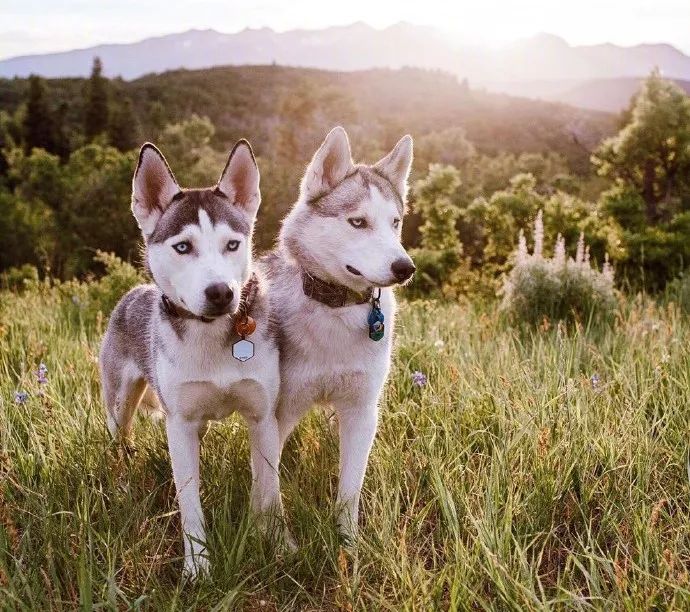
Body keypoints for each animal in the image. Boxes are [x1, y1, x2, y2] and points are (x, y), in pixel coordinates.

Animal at [98, 141, 280, 576]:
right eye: (183, 246)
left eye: (232, 244)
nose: (222, 292)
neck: (211, 337)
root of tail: (132, 294)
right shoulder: (178, 424)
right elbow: (189, 502)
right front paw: (197, 566)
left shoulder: (263, 417)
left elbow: (268, 490)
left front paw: (276, 545)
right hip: (120, 406)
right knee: (119, 444)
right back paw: (121, 485)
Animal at [264, 126, 414, 536]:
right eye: (358, 222)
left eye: (395, 223)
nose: (405, 267)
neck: (337, 307)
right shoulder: (276, 416)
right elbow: (269, 487)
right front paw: (276, 539)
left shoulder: (362, 411)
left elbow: (350, 489)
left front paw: (349, 540)